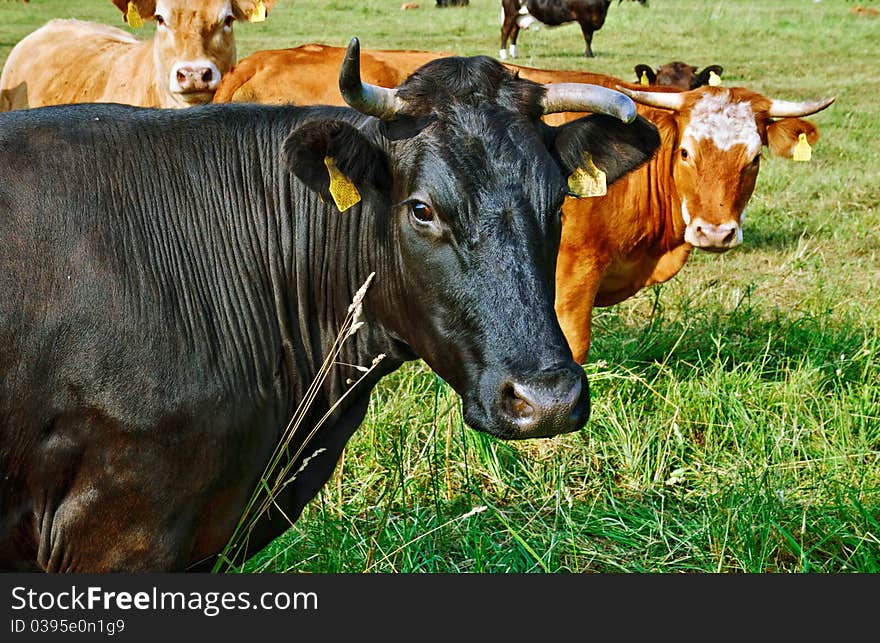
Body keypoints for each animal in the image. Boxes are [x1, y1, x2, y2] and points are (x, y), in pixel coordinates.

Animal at [498, 0, 648, 60]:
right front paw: (589, 55)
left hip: (519, 16)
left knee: (513, 33)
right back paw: (504, 55)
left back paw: (514, 54)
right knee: (505, 31)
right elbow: (588, 38)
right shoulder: (585, 19)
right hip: (511, 13)